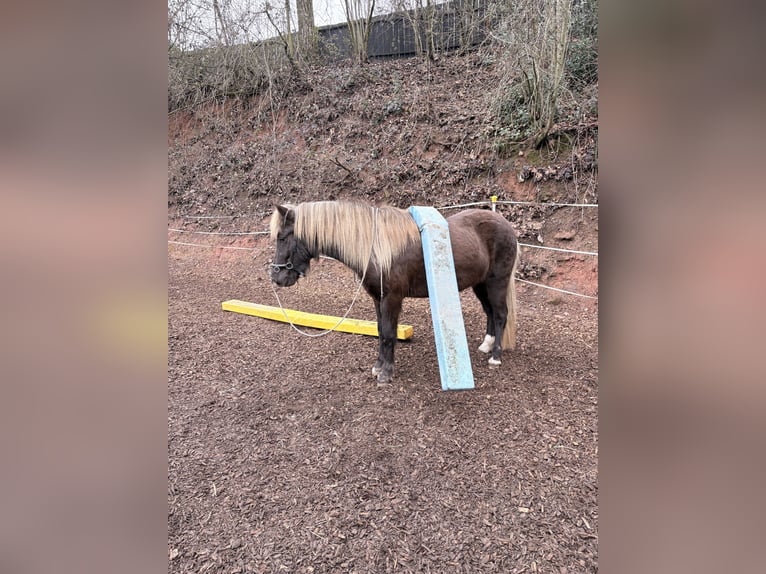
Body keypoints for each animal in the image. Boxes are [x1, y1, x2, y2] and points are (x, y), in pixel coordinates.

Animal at [269, 200, 519, 385]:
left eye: (283, 237)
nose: (276, 277)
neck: (375, 247)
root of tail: (506, 225)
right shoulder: (377, 299)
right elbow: (381, 331)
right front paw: (378, 366)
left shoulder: (391, 299)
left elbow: (389, 333)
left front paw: (386, 373)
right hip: (481, 285)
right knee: (490, 312)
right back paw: (486, 345)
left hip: (497, 282)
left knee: (500, 314)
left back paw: (496, 356)